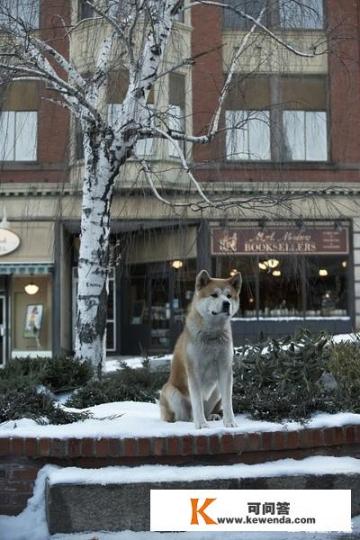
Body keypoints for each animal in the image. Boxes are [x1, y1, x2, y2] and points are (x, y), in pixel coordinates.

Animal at [159, 270, 240, 430]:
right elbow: (197, 402)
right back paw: (189, 421)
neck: (212, 336)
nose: (226, 304)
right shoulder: (194, 371)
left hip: (216, 391)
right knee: (183, 416)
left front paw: (230, 422)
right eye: (214, 295)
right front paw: (201, 424)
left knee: (208, 409)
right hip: (172, 392)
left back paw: (212, 416)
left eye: (229, 296)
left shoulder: (225, 368)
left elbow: (228, 402)